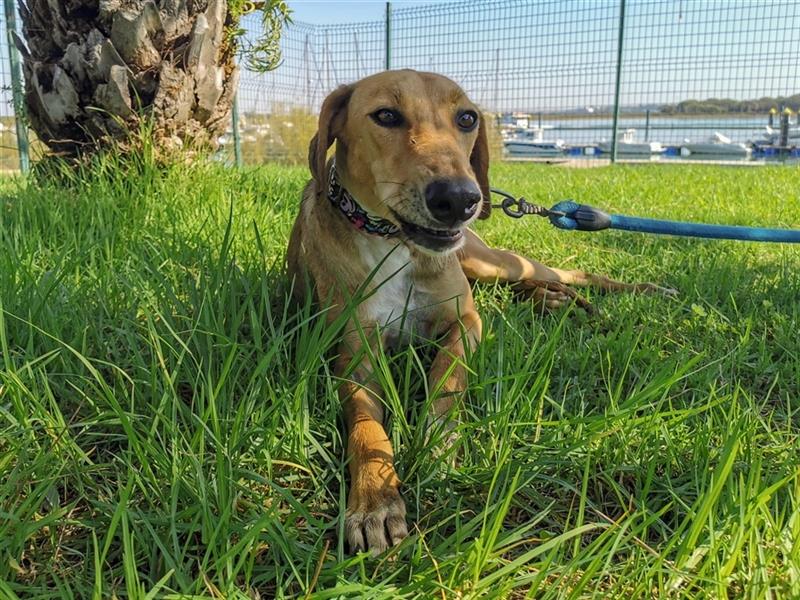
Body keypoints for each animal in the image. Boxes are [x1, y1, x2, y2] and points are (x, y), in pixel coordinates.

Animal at [288, 69, 668, 552]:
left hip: (489, 260)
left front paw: (436, 443)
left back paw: (638, 289)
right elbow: (365, 426)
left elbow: (446, 378)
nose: (459, 200)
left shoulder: (466, 321)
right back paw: (551, 300)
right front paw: (375, 499)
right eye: (386, 115)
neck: (396, 244)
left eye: (467, 118)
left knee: (571, 272)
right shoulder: (355, 354)